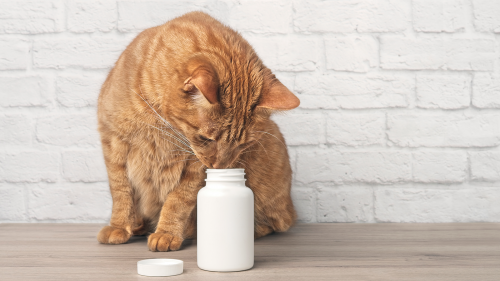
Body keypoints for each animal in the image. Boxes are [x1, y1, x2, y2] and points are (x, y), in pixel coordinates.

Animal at [98, 11, 300, 252]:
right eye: (206, 138)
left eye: (243, 144)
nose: (218, 167)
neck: (160, 123)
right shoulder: (112, 141)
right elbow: (121, 192)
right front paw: (119, 226)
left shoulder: (194, 166)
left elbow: (178, 201)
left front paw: (167, 233)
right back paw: (139, 225)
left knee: (269, 224)